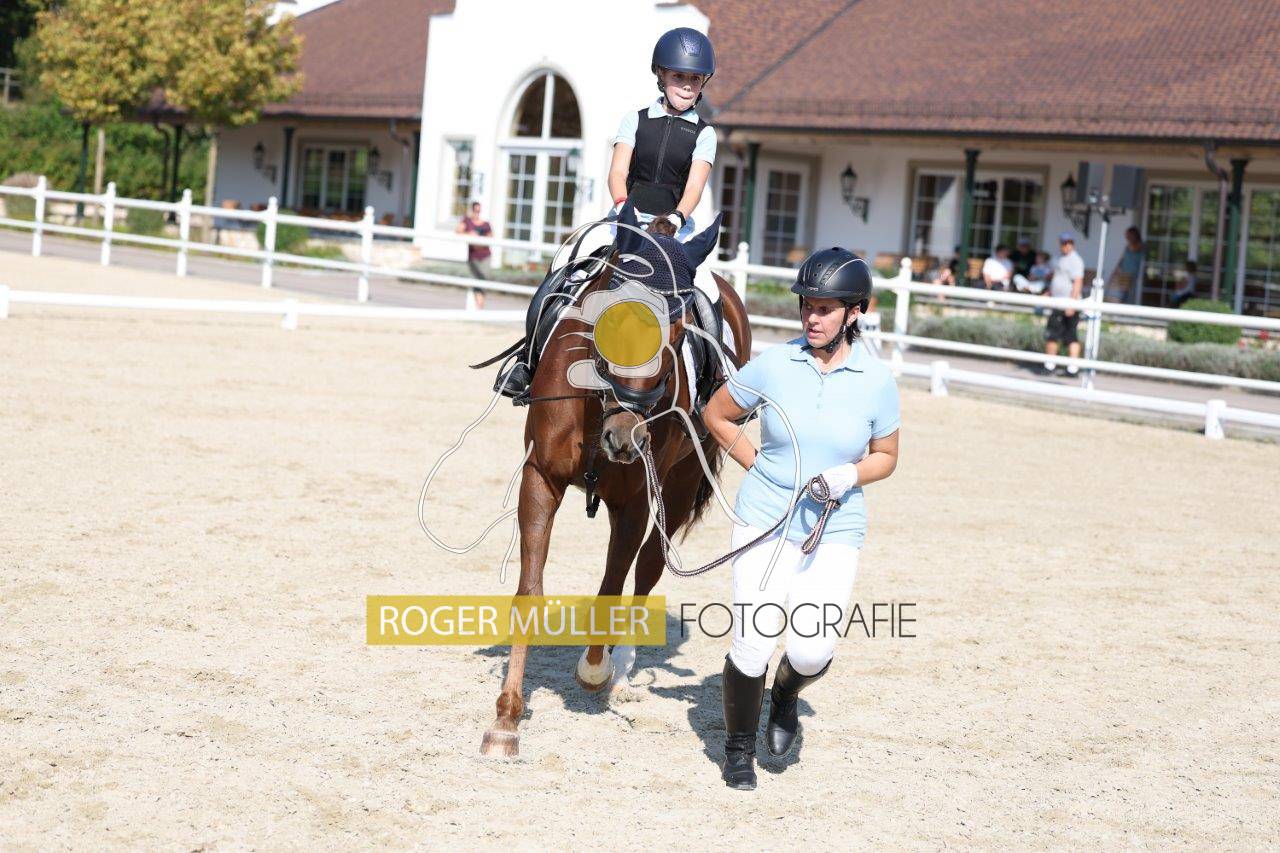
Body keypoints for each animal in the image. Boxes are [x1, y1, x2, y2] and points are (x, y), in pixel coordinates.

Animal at [478, 206, 753, 757]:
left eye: (678, 332)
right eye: (608, 322)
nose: (626, 437)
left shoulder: (635, 503)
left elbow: (613, 585)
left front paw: (593, 669)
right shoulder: (540, 480)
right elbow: (530, 590)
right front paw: (506, 720)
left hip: (678, 482)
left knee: (647, 567)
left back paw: (620, 671)